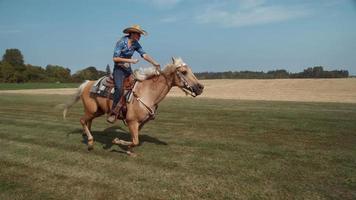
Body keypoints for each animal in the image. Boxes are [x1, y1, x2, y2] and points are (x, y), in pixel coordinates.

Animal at [62, 57, 203, 155]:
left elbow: (135, 140)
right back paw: (90, 142)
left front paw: (129, 150)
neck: (147, 93)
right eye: (184, 72)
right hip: (91, 110)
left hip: (98, 111)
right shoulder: (132, 121)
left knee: (88, 121)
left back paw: (88, 138)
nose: (200, 87)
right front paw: (117, 141)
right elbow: (135, 140)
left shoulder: (140, 123)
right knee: (82, 120)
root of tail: (87, 83)